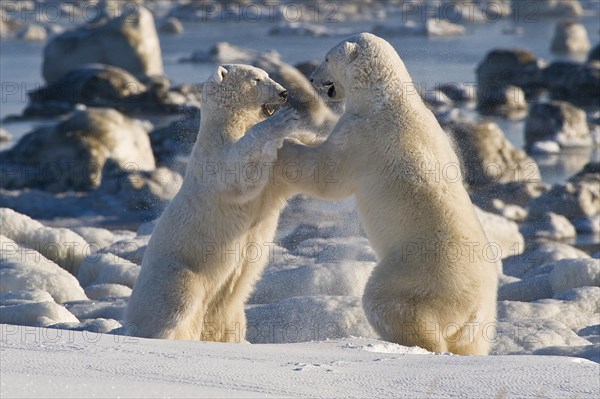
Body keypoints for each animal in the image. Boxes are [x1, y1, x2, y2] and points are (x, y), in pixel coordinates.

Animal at [126, 64, 314, 342]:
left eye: (268, 75)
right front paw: (284, 120)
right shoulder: (213, 159)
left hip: (228, 305)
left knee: (227, 315)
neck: (226, 126)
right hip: (179, 272)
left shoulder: (274, 174)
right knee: (177, 304)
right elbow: (237, 171)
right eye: (257, 79)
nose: (283, 93)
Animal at [284, 32, 500, 354]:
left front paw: (286, 144)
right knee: (472, 342)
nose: (312, 79)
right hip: (482, 317)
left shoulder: (364, 135)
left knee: (388, 303)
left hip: (415, 273)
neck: (386, 98)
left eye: (326, 58)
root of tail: (472, 307)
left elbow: (327, 175)